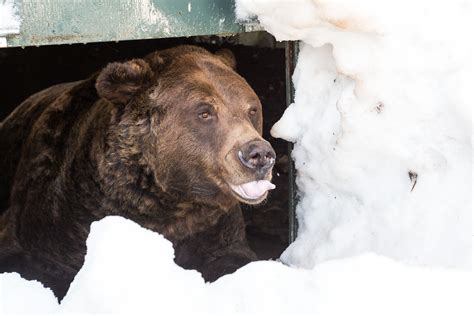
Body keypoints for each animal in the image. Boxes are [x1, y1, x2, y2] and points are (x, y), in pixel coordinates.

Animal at [0, 45, 276, 298]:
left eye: (252, 109)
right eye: (204, 112)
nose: (258, 154)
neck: (169, 198)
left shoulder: (213, 223)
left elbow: (231, 256)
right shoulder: (66, 212)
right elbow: (39, 260)